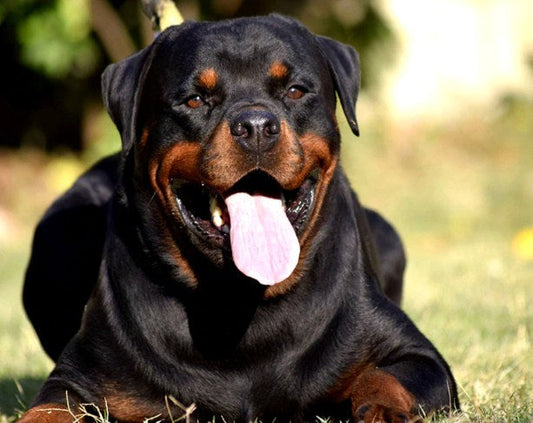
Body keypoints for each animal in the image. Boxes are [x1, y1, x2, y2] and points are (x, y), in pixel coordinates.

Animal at [20, 14, 458, 422]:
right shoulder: (78, 377)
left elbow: (386, 374)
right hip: (54, 241)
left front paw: (381, 409)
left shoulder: (416, 354)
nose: (257, 126)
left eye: (295, 91)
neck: (234, 299)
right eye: (195, 100)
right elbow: (47, 408)